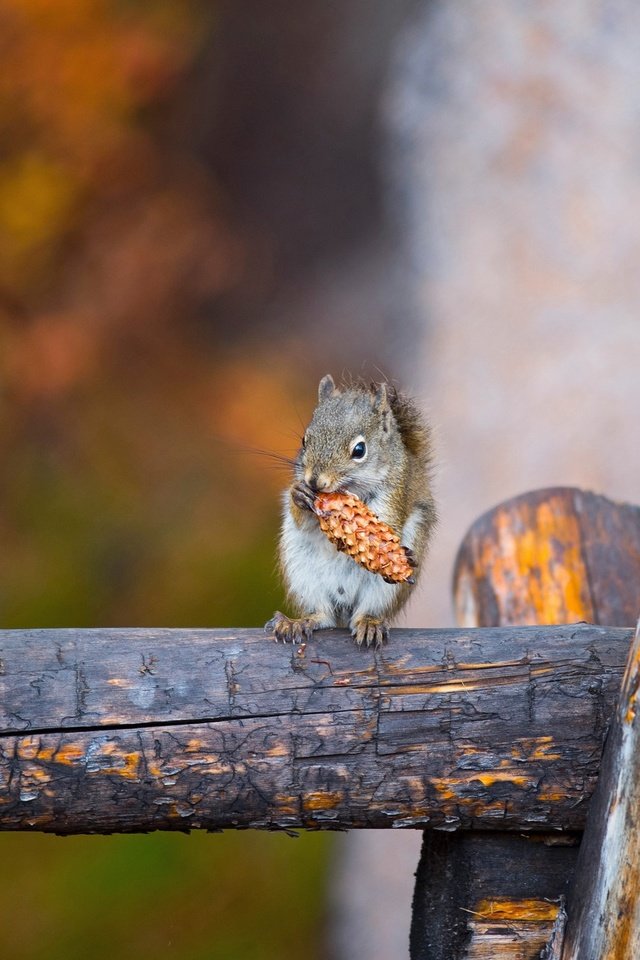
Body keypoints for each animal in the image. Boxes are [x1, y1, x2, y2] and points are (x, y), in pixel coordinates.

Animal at [264, 374, 436, 644]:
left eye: (359, 450)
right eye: (304, 440)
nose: (315, 481)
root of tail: (344, 606)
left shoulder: (396, 492)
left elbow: (386, 526)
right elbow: (301, 518)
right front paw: (299, 495)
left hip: (385, 590)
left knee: (367, 611)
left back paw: (369, 623)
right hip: (301, 572)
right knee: (321, 615)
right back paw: (299, 622)